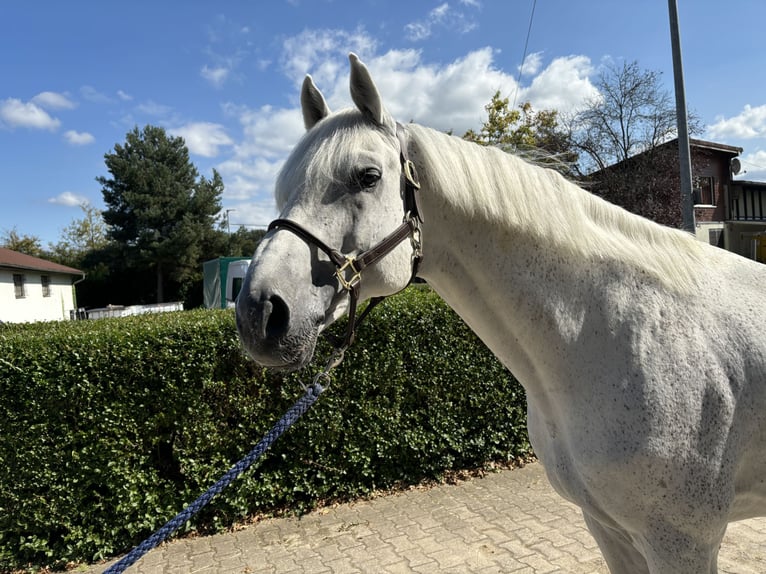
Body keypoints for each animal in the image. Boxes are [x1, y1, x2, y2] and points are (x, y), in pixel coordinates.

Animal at [238, 55, 766, 574]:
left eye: (368, 176)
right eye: (282, 189)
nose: (258, 313)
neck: (613, 334)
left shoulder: (681, 541)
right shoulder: (609, 528)